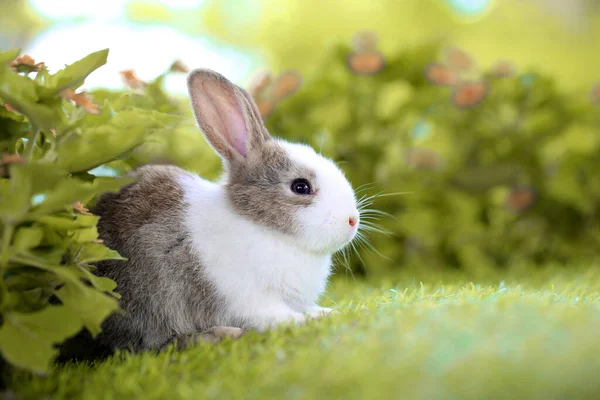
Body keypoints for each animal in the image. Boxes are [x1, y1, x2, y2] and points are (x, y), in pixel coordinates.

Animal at [57, 69, 360, 360]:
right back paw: (219, 335)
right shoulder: (249, 298)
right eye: (300, 186)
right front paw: (312, 320)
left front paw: (324, 312)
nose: (353, 220)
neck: (262, 226)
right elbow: (276, 316)